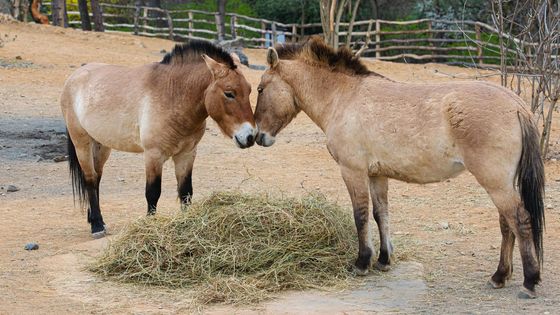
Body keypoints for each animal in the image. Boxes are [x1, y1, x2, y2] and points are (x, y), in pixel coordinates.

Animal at [60, 41, 258, 239]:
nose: (250, 136)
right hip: (82, 143)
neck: (172, 94)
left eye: (250, 90)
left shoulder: (187, 154)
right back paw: (97, 225)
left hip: (102, 145)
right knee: (90, 178)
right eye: (229, 93)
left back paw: (93, 218)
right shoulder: (153, 155)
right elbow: (153, 193)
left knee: (97, 178)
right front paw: (149, 227)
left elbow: (186, 192)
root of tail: (75, 77)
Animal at [256, 38, 544, 300]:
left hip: (495, 182)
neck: (344, 97)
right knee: (506, 224)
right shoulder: (377, 175)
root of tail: (516, 105)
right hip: (501, 183)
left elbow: (360, 215)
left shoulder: (353, 171)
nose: (258, 137)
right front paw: (383, 260)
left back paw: (529, 281)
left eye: (260, 89)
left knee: (519, 220)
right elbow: (380, 214)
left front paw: (362, 262)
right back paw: (499, 276)